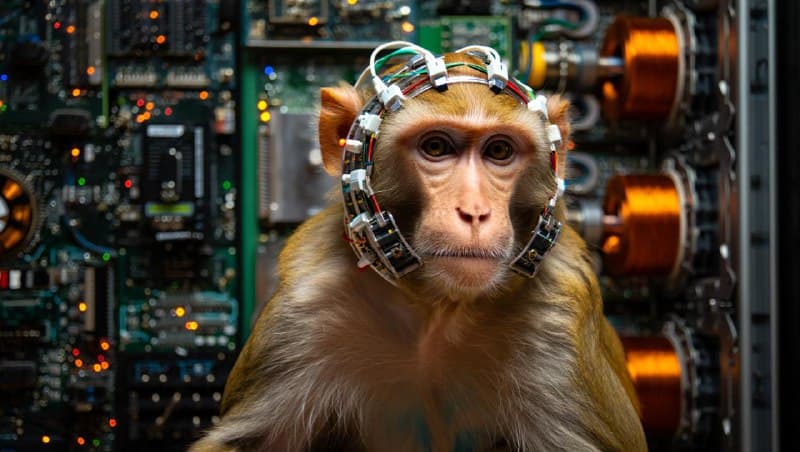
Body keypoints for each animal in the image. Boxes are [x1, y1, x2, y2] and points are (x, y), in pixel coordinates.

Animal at [191, 44, 646, 452]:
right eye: (436, 147)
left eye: (499, 150)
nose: (474, 212)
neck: (437, 309)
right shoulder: (304, 309)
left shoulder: (560, 322)